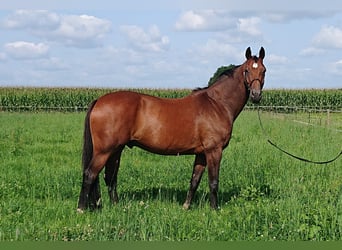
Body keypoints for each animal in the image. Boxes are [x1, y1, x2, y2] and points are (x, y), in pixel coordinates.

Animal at [78, 46, 268, 211]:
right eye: (247, 70)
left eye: (264, 70)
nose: (256, 95)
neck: (217, 104)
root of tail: (99, 100)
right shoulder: (214, 151)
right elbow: (213, 182)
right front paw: (215, 209)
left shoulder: (201, 154)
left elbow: (194, 181)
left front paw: (186, 206)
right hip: (104, 151)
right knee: (90, 174)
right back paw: (81, 209)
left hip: (116, 150)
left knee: (110, 177)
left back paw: (117, 206)